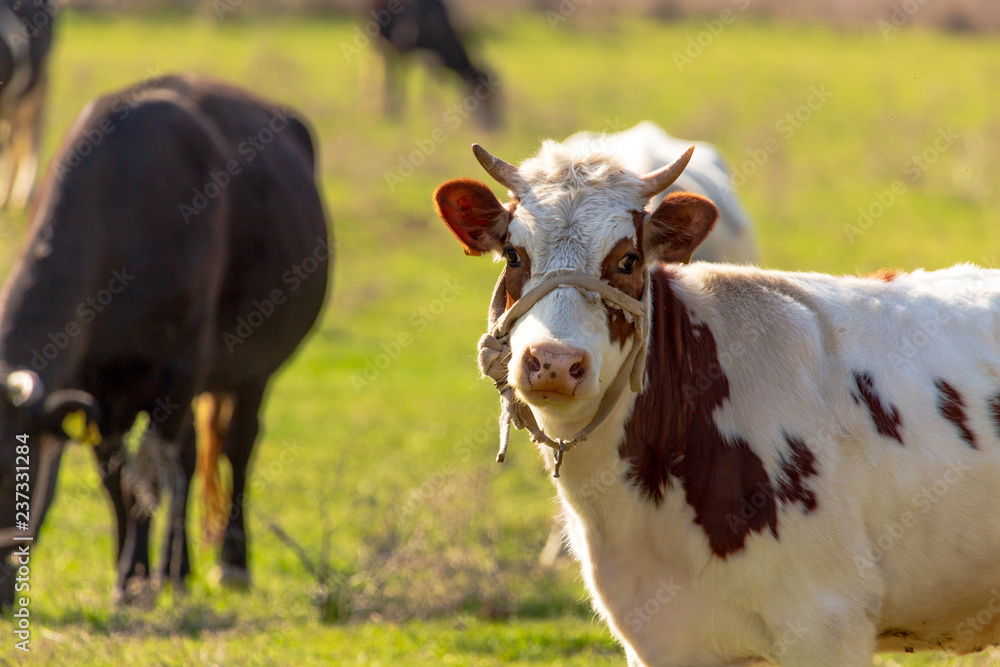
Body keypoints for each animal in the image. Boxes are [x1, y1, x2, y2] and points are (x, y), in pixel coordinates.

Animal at [0, 74, 330, 612]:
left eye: (11, 470)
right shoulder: (99, 395)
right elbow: (118, 480)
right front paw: (128, 573)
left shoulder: (179, 373)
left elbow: (149, 478)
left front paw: (141, 579)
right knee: (192, 457)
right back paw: (179, 567)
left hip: (250, 372)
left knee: (236, 446)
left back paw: (229, 564)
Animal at [372, 0, 500, 129]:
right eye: (483, 92)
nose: (495, 125)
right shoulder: (402, 43)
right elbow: (397, 78)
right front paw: (394, 114)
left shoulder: (426, 58)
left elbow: (431, 82)